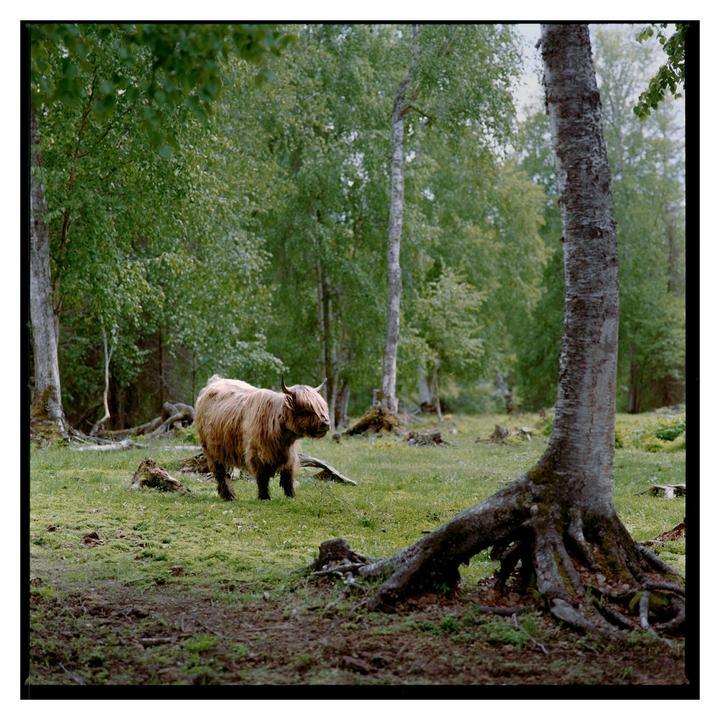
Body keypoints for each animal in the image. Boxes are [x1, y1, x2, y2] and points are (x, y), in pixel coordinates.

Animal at [195, 374, 330, 501]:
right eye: (306, 408)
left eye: (322, 406)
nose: (326, 423)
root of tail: (215, 380)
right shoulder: (257, 454)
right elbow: (262, 478)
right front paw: (264, 497)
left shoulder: (290, 456)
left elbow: (288, 476)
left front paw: (291, 496)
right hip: (211, 450)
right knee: (220, 473)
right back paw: (229, 496)